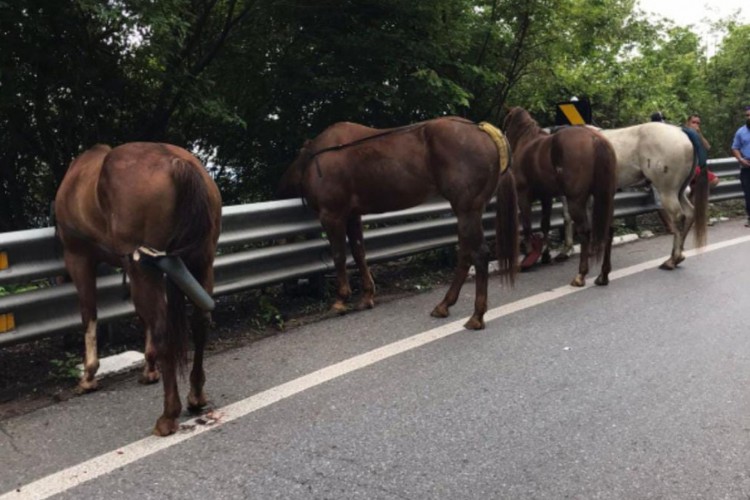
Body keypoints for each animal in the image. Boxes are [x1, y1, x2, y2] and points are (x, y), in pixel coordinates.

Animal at [54, 143, 222, 436]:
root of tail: (177, 162)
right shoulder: (130, 266)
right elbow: (142, 317)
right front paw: (149, 367)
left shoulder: (79, 258)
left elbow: (89, 313)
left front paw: (88, 375)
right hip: (201, 259)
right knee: (200, 321)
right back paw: (196, 395)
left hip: (148, 266)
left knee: (164, 329)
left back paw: (168, 415)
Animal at [280, 116, 520, 328]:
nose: (287, 288)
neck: (314, 159)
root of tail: (484, 131)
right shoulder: (353, 215)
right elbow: (359, 253)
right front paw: (366, 296)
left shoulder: (333, 215)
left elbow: (339, 255)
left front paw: (341, 299)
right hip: (467, 212)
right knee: (465, 255)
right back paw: (444, 304)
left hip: (467, 209)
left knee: (479, 254)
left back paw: (477, 315)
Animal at [506, 107, 616, 288]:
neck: (527, 142)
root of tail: (595, 139)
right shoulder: (546, 197)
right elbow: (544, 224)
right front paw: (544, 254)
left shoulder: (523, 195)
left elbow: (528, 225)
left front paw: (528, 255)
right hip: (604, 198)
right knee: (608, 229)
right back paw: (603, 275)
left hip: (576, 201)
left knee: (585, 231)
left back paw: (581, 275)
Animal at [560, 121, 712, 270]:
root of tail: (681, 131)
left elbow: (569, 217)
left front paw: (567, 250)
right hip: (679, 191)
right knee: (690, 213)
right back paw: (676, 256)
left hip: (667, 191)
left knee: (678, 217)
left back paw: (673, 259)